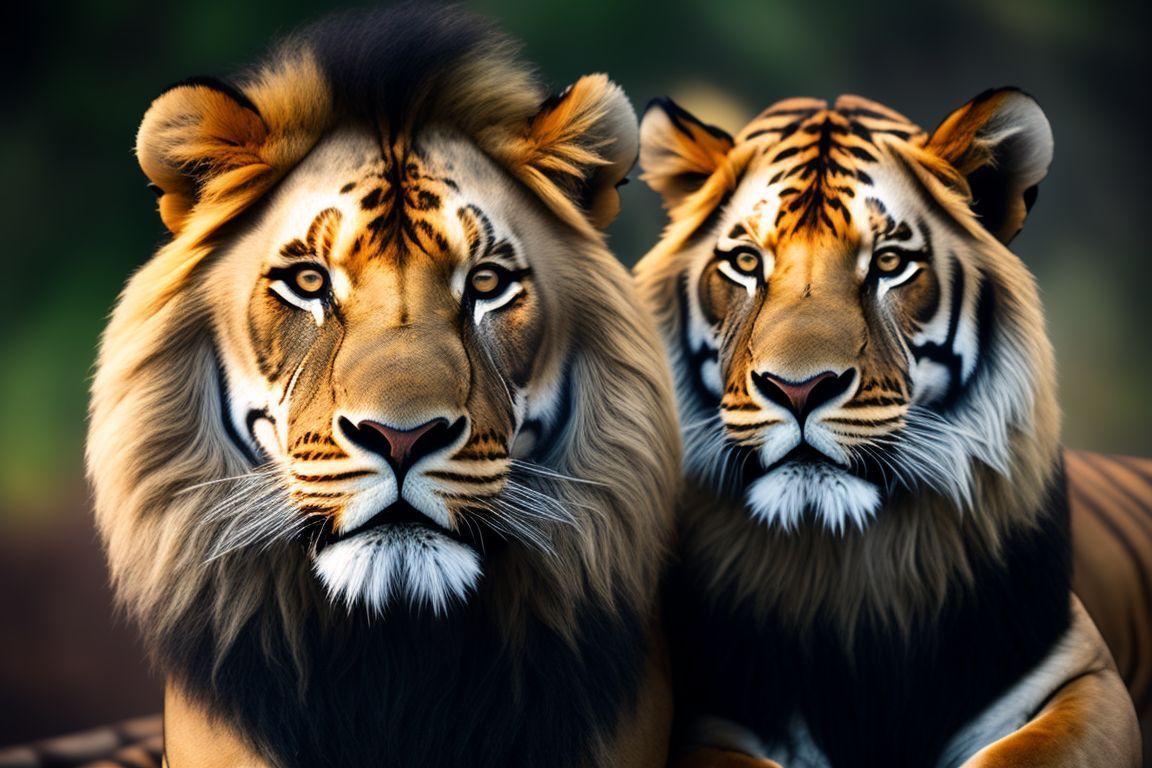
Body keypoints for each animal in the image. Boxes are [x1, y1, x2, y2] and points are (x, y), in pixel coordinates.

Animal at [634, 90, 1148, 767]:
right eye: (746, 262)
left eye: (889, 263)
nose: (799, 389)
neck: (849, 562)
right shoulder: (715, 717)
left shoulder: (1082, 676)